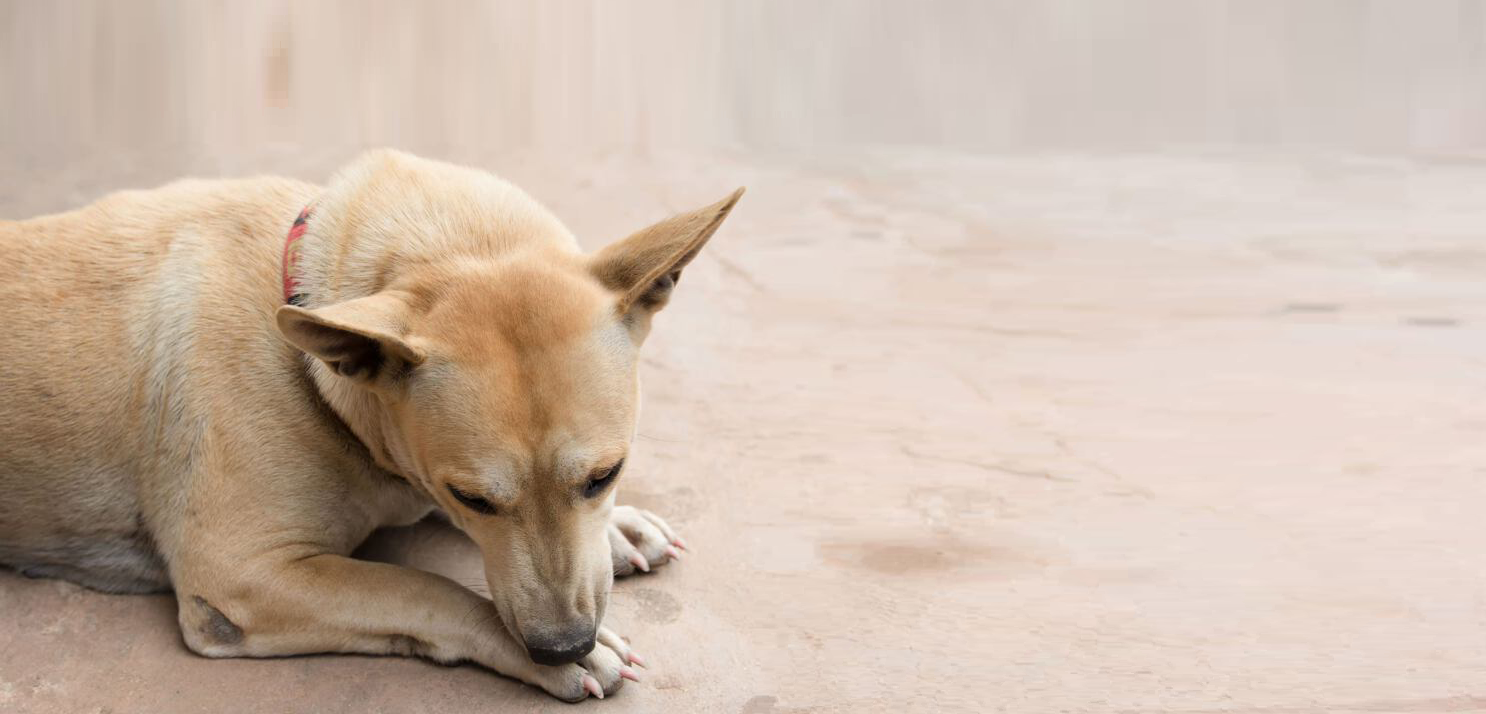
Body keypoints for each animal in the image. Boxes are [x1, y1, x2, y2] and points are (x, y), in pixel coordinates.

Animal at [0, 150, 743, 702]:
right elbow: (421, 588)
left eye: (606, 475)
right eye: (473, 497)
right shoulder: (240, 577)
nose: (563, 645)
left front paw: (619, 528)